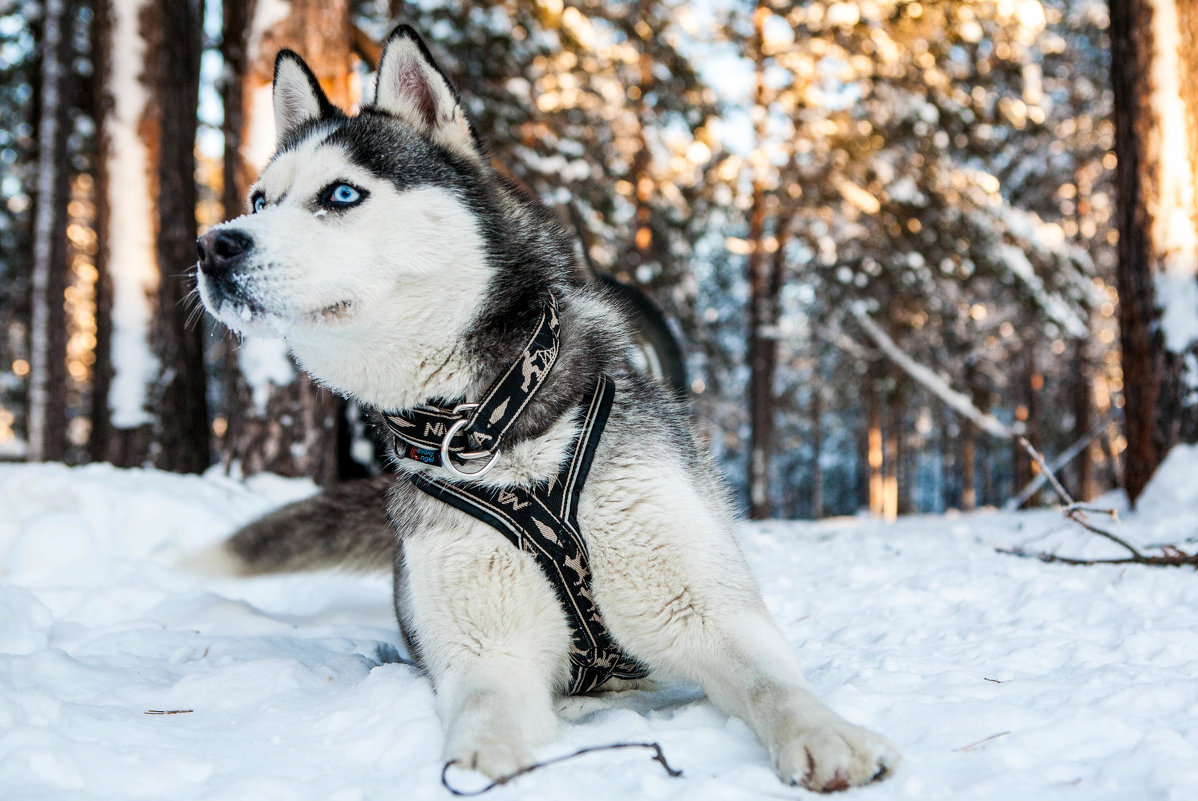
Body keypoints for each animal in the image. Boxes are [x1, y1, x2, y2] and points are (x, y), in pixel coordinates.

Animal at [194, 26, 900, 795]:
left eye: (342, 193)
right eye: (260, 200)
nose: (214, 244)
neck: (492, 425)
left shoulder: (704, 610)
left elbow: (774, 685)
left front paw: (823, 734)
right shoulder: (484, 644)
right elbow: (485, 708)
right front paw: (480, 762)